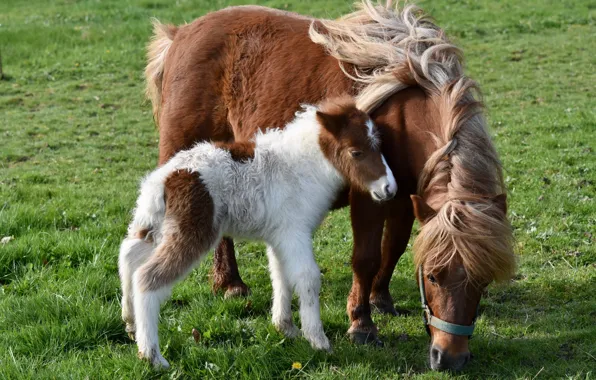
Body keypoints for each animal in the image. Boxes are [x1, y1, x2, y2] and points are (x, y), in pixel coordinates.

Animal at [117, 96, 396, 370]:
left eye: (379, 145)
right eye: (356, 152)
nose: (389, 188)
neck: (301, 167)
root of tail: (163, 179)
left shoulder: (279, 238)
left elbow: (281, 276)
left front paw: (286, 328)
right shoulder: (295, 232)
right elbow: (307, 278)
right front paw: (318, 340)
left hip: (153, 224)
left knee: (128, 254)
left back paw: (130, 323)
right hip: (193, 232)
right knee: (147, 278)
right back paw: (152, 355)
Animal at [146, 0, 516, 372]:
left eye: (483, 281)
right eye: (434, 277)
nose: (450, 358)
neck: (402, 110)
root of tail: (181, 34)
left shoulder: (405, 197)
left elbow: (394, 247)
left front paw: (381, 298)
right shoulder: (369, 197)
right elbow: (366, 257)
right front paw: (362, 324)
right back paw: (231, 284)